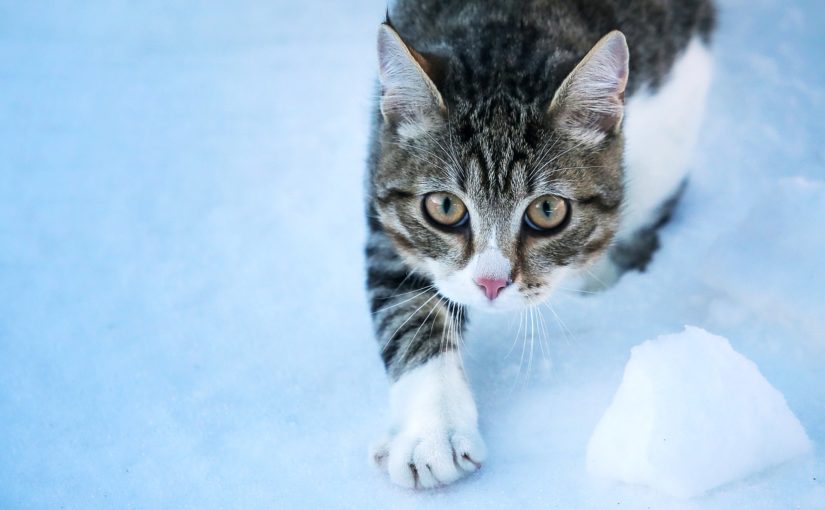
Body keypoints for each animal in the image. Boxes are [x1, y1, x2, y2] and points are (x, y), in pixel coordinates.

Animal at [364, 0, 712, 488]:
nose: (491, 284)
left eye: (547, 210)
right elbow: (406, 303)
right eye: (445, 207)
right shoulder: (384, 176)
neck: (510, 25)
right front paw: (432, 434)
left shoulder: (679, 82)